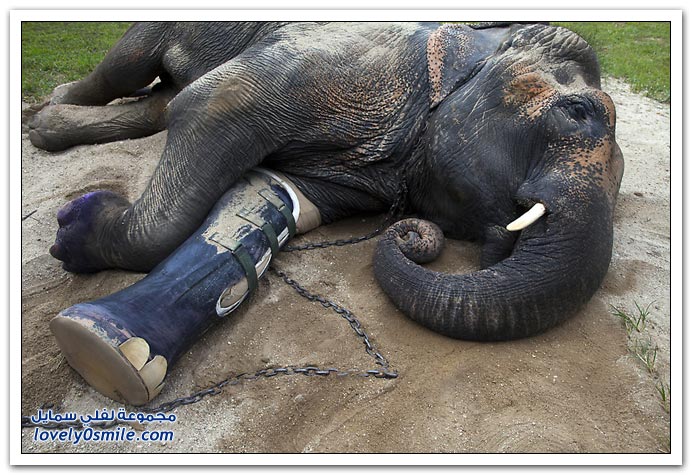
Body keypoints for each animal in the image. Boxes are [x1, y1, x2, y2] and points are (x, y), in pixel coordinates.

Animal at [34, 21, 624, 403]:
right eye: (577, 111)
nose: (412, 235)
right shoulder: (337, 65)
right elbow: (211, 102)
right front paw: (72, 234)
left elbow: (277, 193)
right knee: (129, 72)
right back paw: (48, 114)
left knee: (156, 105)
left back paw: (46, 126)